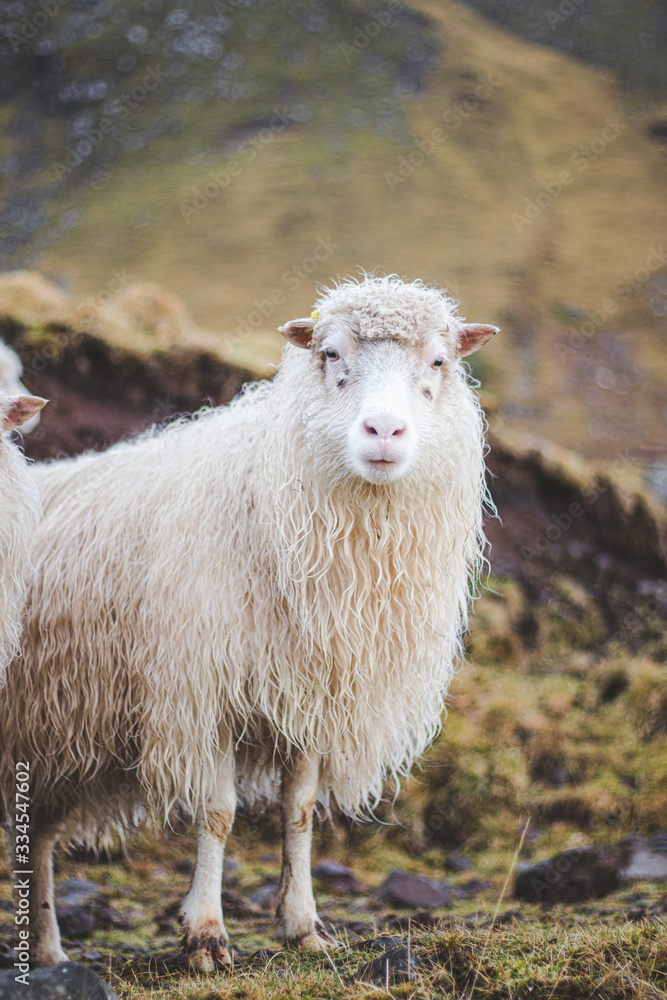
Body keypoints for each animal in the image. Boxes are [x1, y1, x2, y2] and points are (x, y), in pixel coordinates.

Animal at [0, 274, 498, 968]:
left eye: (439, 362)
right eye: (331, 355)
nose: (385, 429)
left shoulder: (311, 695)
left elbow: (301, 812)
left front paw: (303, 925)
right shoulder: (203, 690)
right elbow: (216, 814)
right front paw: (206, 935)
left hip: (52, 738)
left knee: (37, 836)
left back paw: (46, 952)